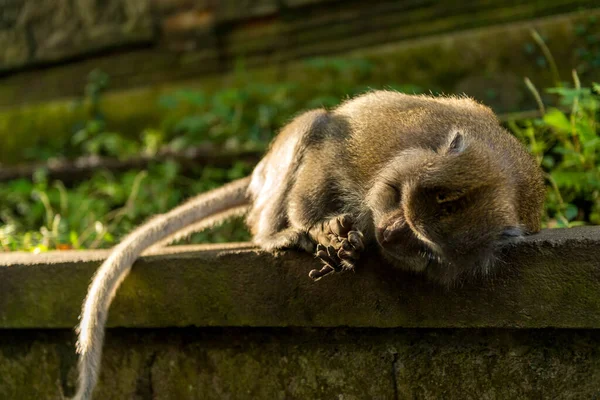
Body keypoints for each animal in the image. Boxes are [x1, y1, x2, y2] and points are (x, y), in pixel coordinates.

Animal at [72, 91, 548, 400]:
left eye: (422, 246)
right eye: (401, 202)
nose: (389, 234)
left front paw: (352, 247)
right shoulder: (384, 148)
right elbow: (327, 149)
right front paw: (317, 230)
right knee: (315, 124)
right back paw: (275, 233)